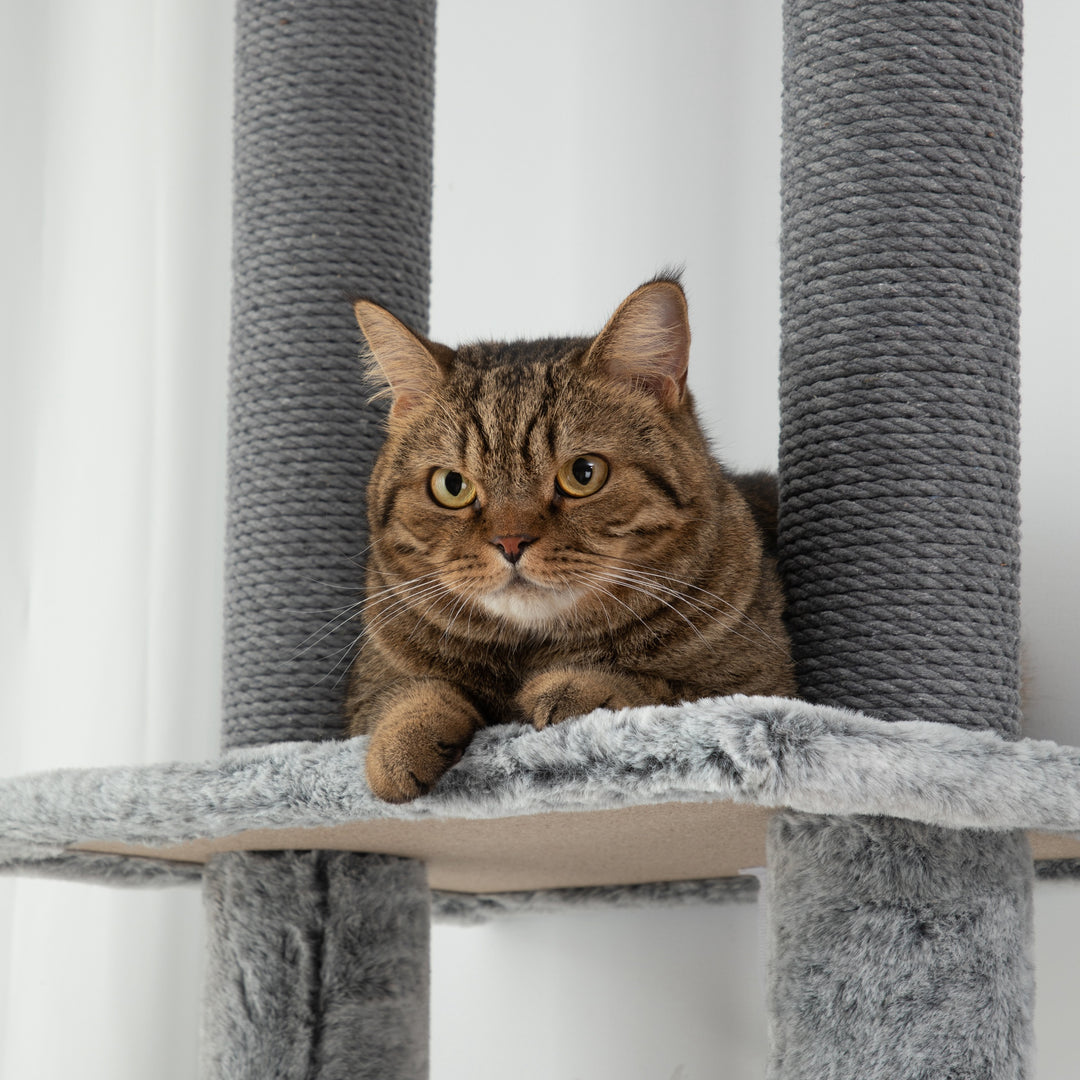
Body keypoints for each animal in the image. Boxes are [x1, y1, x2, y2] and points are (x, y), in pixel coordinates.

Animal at [345, 278, 794, 803]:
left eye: (583, 474)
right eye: (451, 486)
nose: (510, 541)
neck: (531, 651)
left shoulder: (763, 685)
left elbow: (668, 689)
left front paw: (577, 686)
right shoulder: (367, 690)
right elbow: (407, 693)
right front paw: (402, 741)